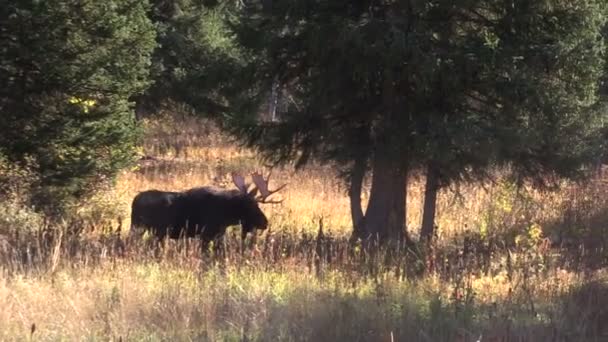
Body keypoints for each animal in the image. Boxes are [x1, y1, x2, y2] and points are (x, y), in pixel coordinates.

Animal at [129, 171, 284, 248]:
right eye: (252, 206)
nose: (265, 223)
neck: (227, 215)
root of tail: (134, 201)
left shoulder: (218, 234)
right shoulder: (206, 233)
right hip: (139, 227)